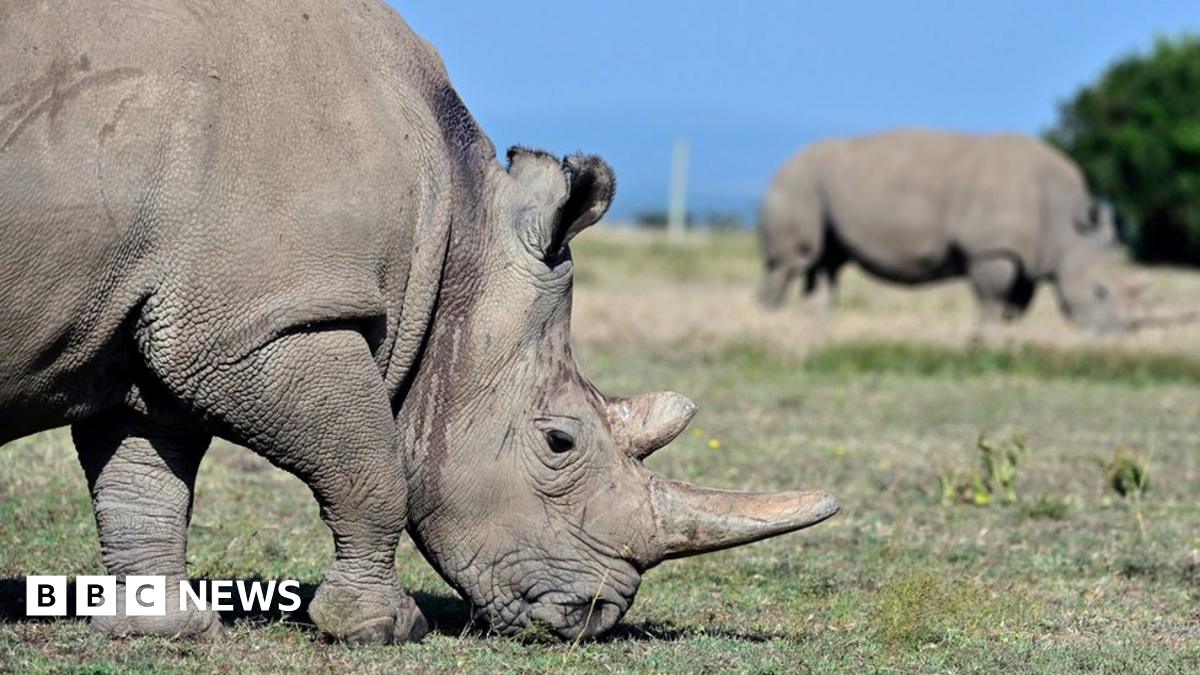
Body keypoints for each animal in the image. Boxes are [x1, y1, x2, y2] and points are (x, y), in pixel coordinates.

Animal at [0, 0, 838, 644]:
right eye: (558, 441)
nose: (591, 617)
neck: (458, 233)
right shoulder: (258, 324)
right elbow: (374, 466)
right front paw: (384, 627)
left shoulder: (163, 327)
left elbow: (145, 478)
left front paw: (166, 630)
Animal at [758, 130, 1145, 331]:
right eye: (1099, 292)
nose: (1113, 335)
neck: (1067, 225)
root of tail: (782, 164)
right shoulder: (993, 250)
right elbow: (993, 298)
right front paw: (987, 334)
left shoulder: (1028, 256)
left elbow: (1016, 304)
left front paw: (1006, 335)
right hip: (797, 183)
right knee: (792, 261)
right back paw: (770, 320)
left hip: (815, 185)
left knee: (827, 263)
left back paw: (817, 325)